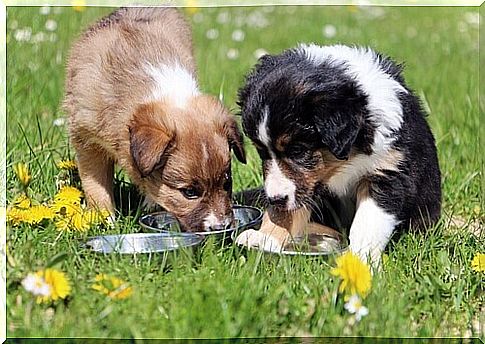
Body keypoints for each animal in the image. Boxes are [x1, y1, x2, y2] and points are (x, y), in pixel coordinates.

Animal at [64, 8, 246, 231]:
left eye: (227, 183)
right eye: (189, 192)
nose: (221, 227)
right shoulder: (87, 139)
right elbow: (96, 184)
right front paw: (104, 220)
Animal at [236, 43, 440, 264]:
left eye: (298, 150)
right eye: (261, 151)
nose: (275, 199)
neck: (347, 157)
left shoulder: (388, 173)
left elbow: (368, 223)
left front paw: (359, 260)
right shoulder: (306, 183)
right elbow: (286, 213)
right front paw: (266, 238)